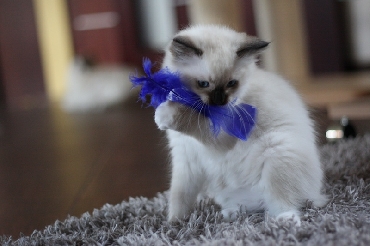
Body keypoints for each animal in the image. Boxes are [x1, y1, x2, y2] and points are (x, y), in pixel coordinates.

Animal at [155, 24, 328, 225]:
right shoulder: (185, 157)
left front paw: (165, 114)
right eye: (203, 84)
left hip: (277, 149)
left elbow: (192, 120)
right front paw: (174, 223)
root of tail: (316, 194)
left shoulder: (219, 135)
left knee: (282, 203)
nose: (220, 100)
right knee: (254, 207)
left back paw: (286, 220)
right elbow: (179, 197)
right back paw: (231, 214)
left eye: (231, 83)